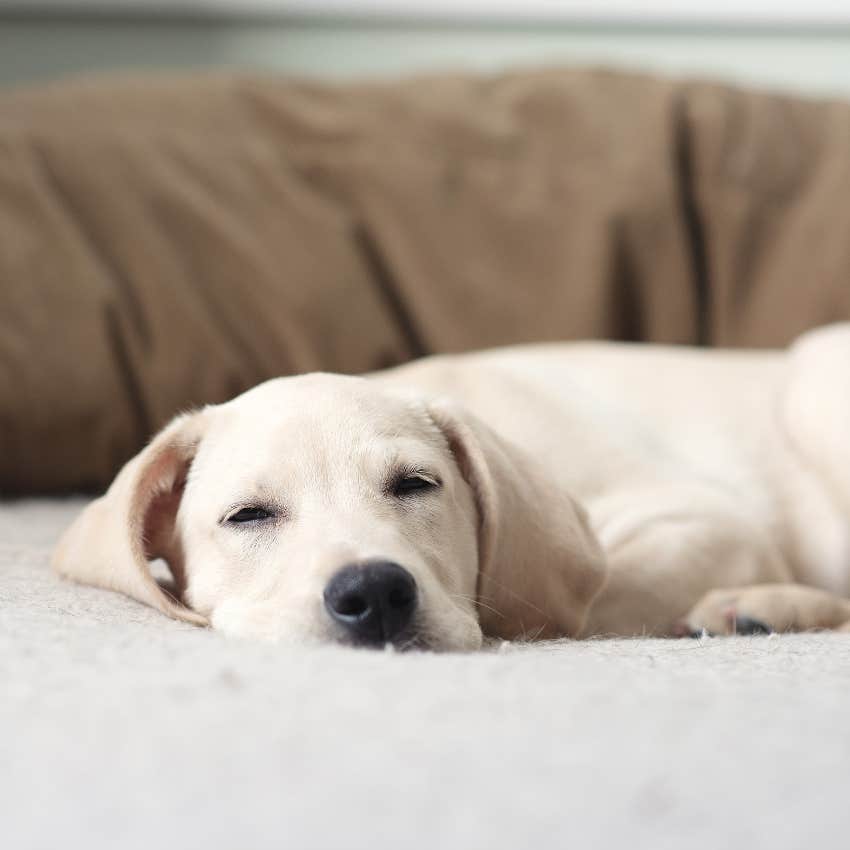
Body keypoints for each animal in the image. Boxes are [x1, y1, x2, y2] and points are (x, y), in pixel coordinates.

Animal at [51, 322, 848, 644]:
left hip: (813, 387)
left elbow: (586, 596)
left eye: (415, 485)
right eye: (247, 516)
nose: (374, 594)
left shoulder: (707, 520)